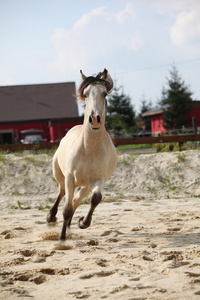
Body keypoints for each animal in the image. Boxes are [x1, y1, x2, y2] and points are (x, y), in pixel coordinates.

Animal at [46, 68, 117, 241]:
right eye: (85, 94)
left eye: (104, 94)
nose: (95, 119)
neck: (88, 149)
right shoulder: (70, 178)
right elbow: (66, 208)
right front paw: (62, 239)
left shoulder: (98, 180)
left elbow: (95, 198)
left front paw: (83, 222)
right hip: (60, 175)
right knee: (62, 192)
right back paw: (51, 217)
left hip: (85, 185)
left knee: (76, 200)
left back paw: (71, 223)